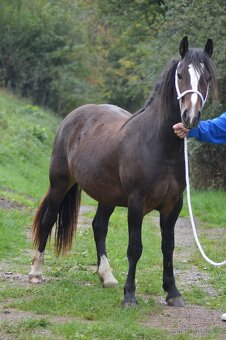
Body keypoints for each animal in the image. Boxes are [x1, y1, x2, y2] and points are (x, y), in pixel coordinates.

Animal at [29, 36, 216, 306]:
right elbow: (135, 248)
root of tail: (75, 115)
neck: (159, 145)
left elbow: (168, 247)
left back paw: (107, 277)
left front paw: (172, 292)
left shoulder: (173, 205)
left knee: (99, 226)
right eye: (180, 75)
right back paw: (36, 271)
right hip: (59, 183)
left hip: (106, 195)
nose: (190, 117)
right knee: (48, 219)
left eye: (207, 77)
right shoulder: (136, 203)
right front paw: (129, 295)